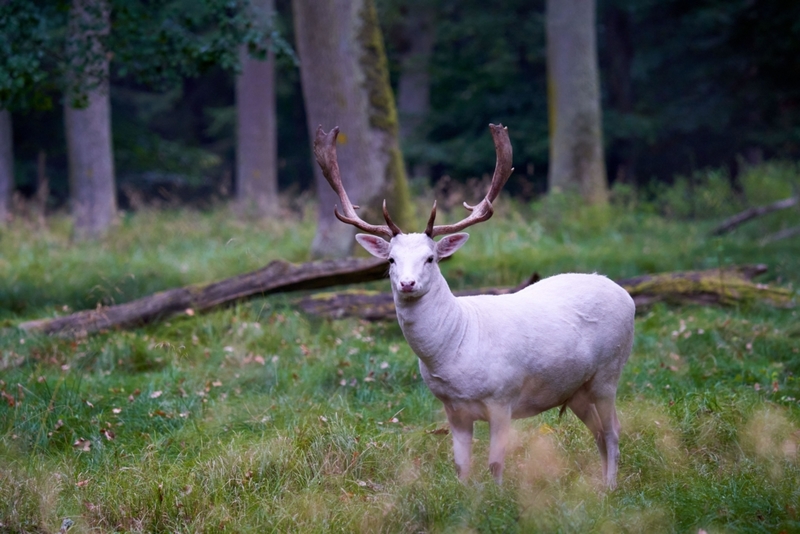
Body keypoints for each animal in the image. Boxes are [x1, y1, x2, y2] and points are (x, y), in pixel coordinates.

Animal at [316, 122, 636, 490]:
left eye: (431, 258)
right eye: (391, 260)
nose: (407, 284)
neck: (455, 350)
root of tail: (626, 294)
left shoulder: (503, 397)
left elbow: (496, 462)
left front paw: (497, 498)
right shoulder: (452, 408)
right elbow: (461, 465)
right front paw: (466, 497)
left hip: (609, 372)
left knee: (613, 430)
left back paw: (610, 488)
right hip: (576, 390)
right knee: (598, 433)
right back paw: (598, 486)